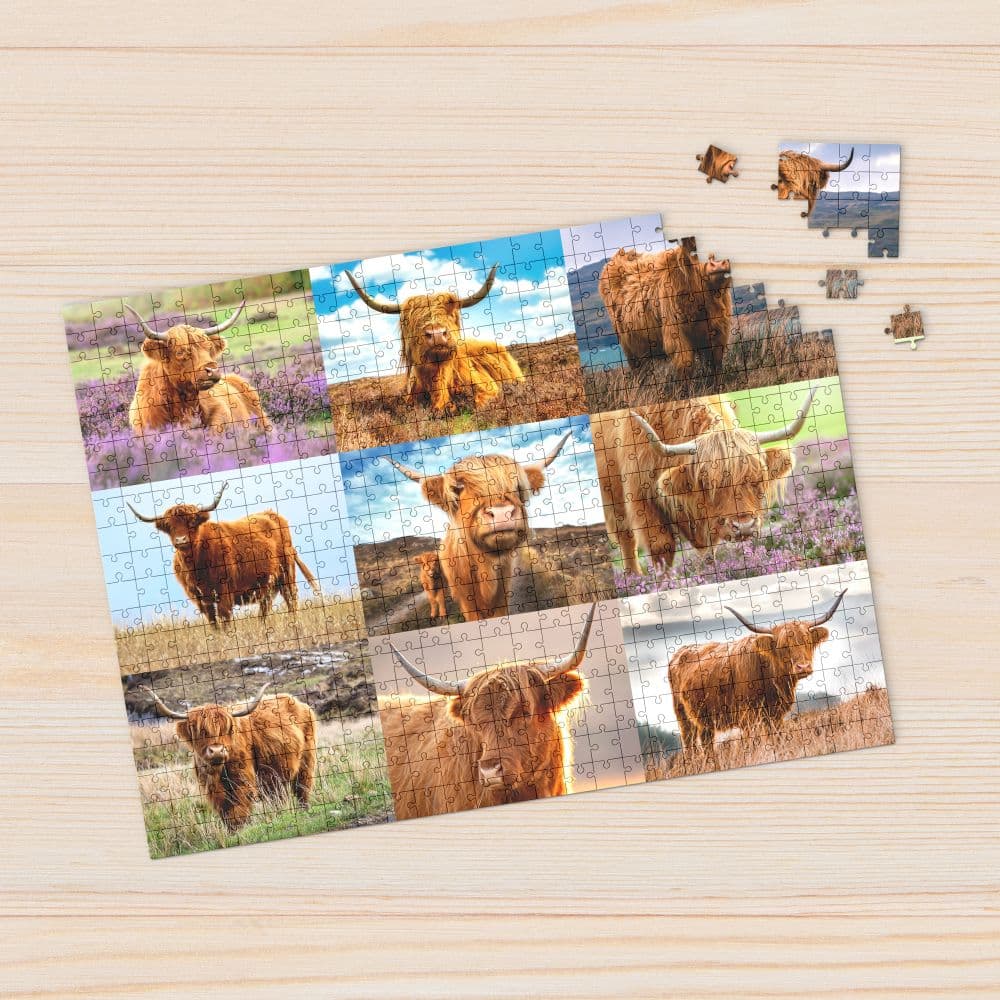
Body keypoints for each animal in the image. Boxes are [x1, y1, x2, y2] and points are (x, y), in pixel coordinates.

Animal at [127, 482, 320, 627]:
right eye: (169, 525)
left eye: (192, 522)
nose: (181, 540)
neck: (196, 567)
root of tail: (270, 513)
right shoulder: (201, 600)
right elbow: (214, 624)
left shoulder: (224, 593)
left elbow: (225, 620)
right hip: (268, 583)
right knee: (265, 607)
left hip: (286, 574)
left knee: (291, 600)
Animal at [142, 682, 317, 830]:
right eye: (200, 731)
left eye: (225, 729)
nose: (217, 751)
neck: (218, 772)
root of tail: (297, 701)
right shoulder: (212, 788)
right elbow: (225, 811)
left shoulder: (242, 780)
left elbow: (238, 808)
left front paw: (240, 829)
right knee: (278, 796)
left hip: (306, 762)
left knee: (302, 789)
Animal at [592, 387, 817, 576]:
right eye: (708, 483)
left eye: (757, 479)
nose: (744, 526)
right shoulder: (642, 499)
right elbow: (662, 548)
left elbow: (710, 553)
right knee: (626, 541)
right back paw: (634, 578)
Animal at [598, 244, 733, 373]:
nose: (718, 264)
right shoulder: (676, 333)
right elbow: (686, 366)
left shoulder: (718, 331)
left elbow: (716, 363)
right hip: (629, 346)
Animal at [668, 589, 847, 749]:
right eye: (782, 646)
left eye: (807, 641)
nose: (803, 667)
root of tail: (681, 651)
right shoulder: (747, 717)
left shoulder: (776, 716)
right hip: (683, 717)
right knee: (690, 746)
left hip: (704, 721)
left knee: (707, 745)